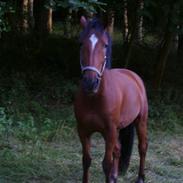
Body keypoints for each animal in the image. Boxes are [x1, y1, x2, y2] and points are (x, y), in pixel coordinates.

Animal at [73, 16, 148, 183]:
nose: (90, 82)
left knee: (142, 147)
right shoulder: (83, 131)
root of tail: (133, 76)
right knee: (118, 150)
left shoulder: (110, 131)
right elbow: (86, 161)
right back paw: (114, 176)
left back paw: (140, 177)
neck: (95, 99)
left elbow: (106, 164)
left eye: (105, 45)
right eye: (80, 43)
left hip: (140, 122)